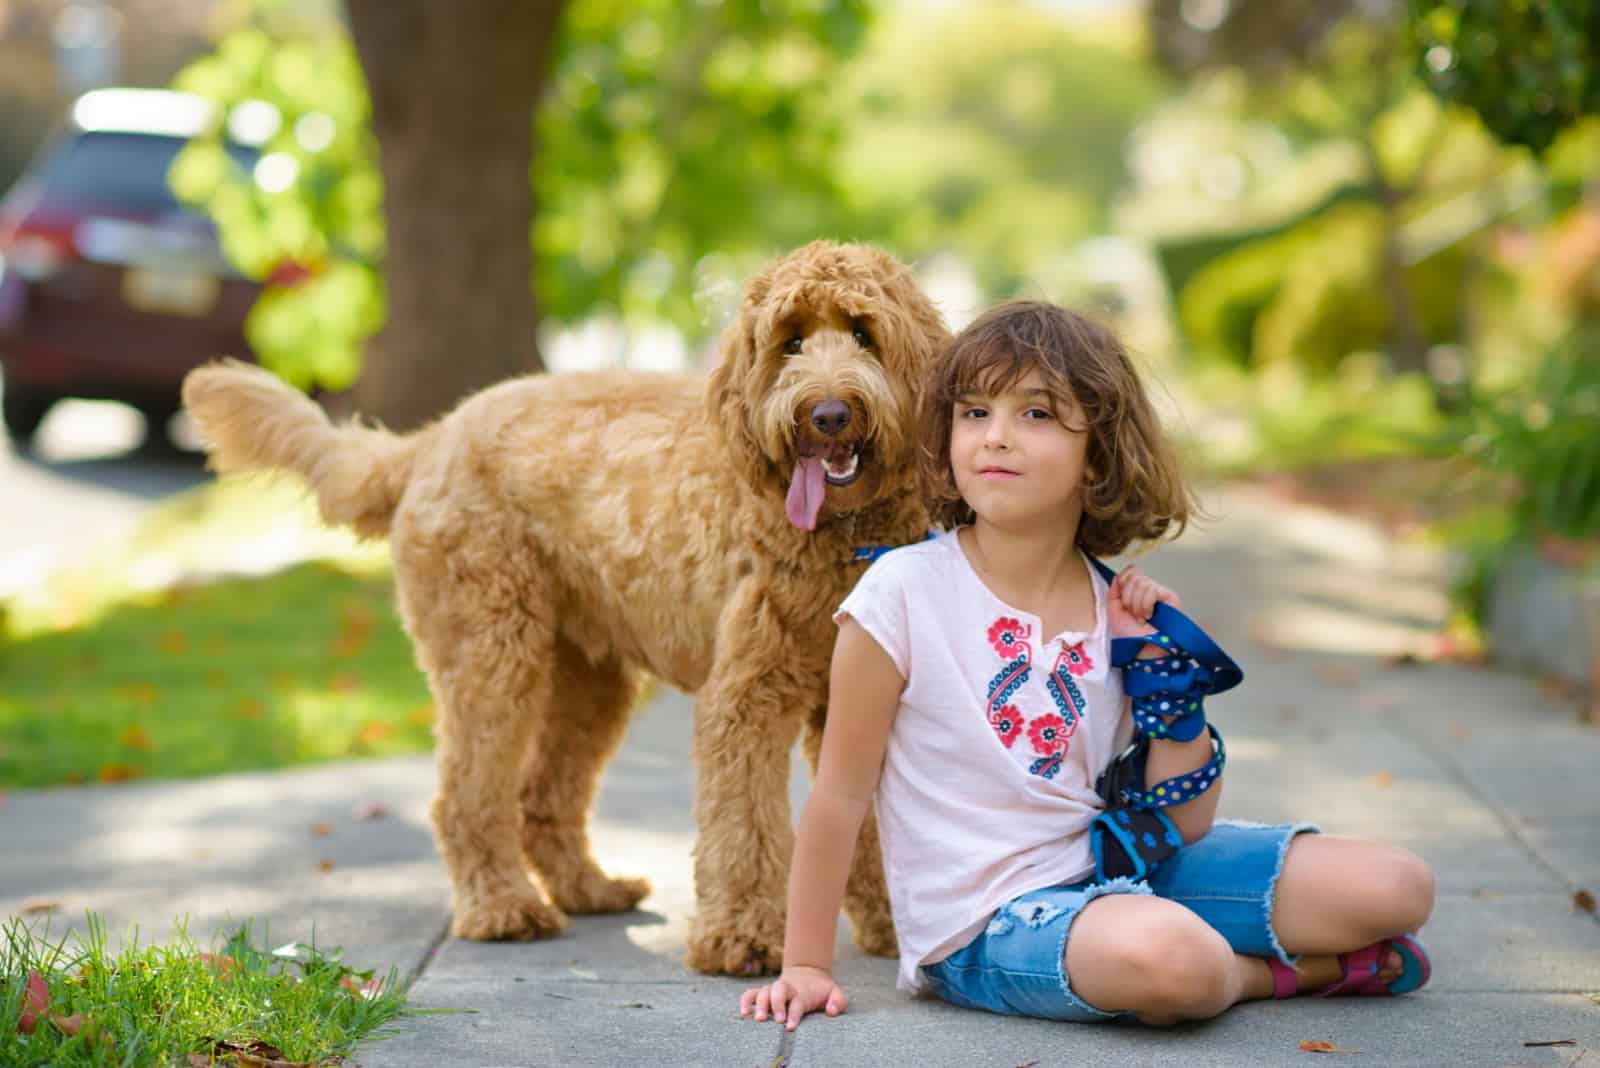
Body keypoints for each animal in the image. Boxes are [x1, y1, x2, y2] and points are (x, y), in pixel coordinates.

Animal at [181, 241, 947, 978]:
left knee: (544, 797)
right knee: (467, 797)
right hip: (492, 649)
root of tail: (435, 437)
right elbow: (744, 827)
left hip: (587, 679)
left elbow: (872, 823)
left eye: (864, 333)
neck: (847, 539)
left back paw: (589, 889)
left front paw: (893, 926)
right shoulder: (746, 699)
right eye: (790, 342)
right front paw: (743, 938)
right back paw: (503, 908)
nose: (828, 414)